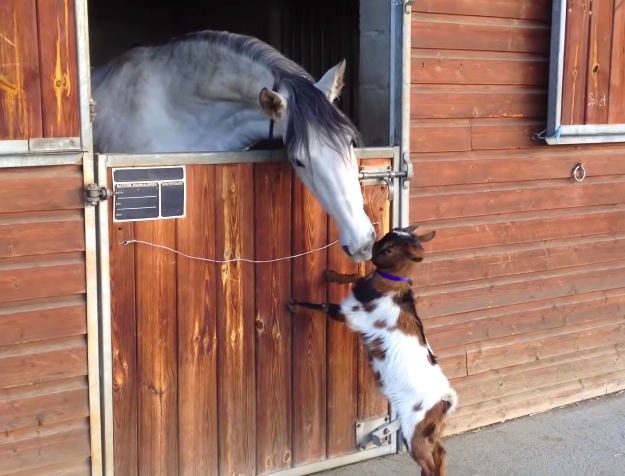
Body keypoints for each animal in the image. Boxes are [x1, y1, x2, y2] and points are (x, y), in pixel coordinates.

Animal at [290, 225, 456, 474]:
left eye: (389, 249)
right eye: (388, 234)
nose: (370, 248)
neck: (391, 288)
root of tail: (444, 400)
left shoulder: (350, 313)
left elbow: (322, 306)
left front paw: (294, 305)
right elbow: (356, 275)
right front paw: (331, 274)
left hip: (413, 428)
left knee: (427, 461)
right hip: (432, 428)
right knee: (441, 452)